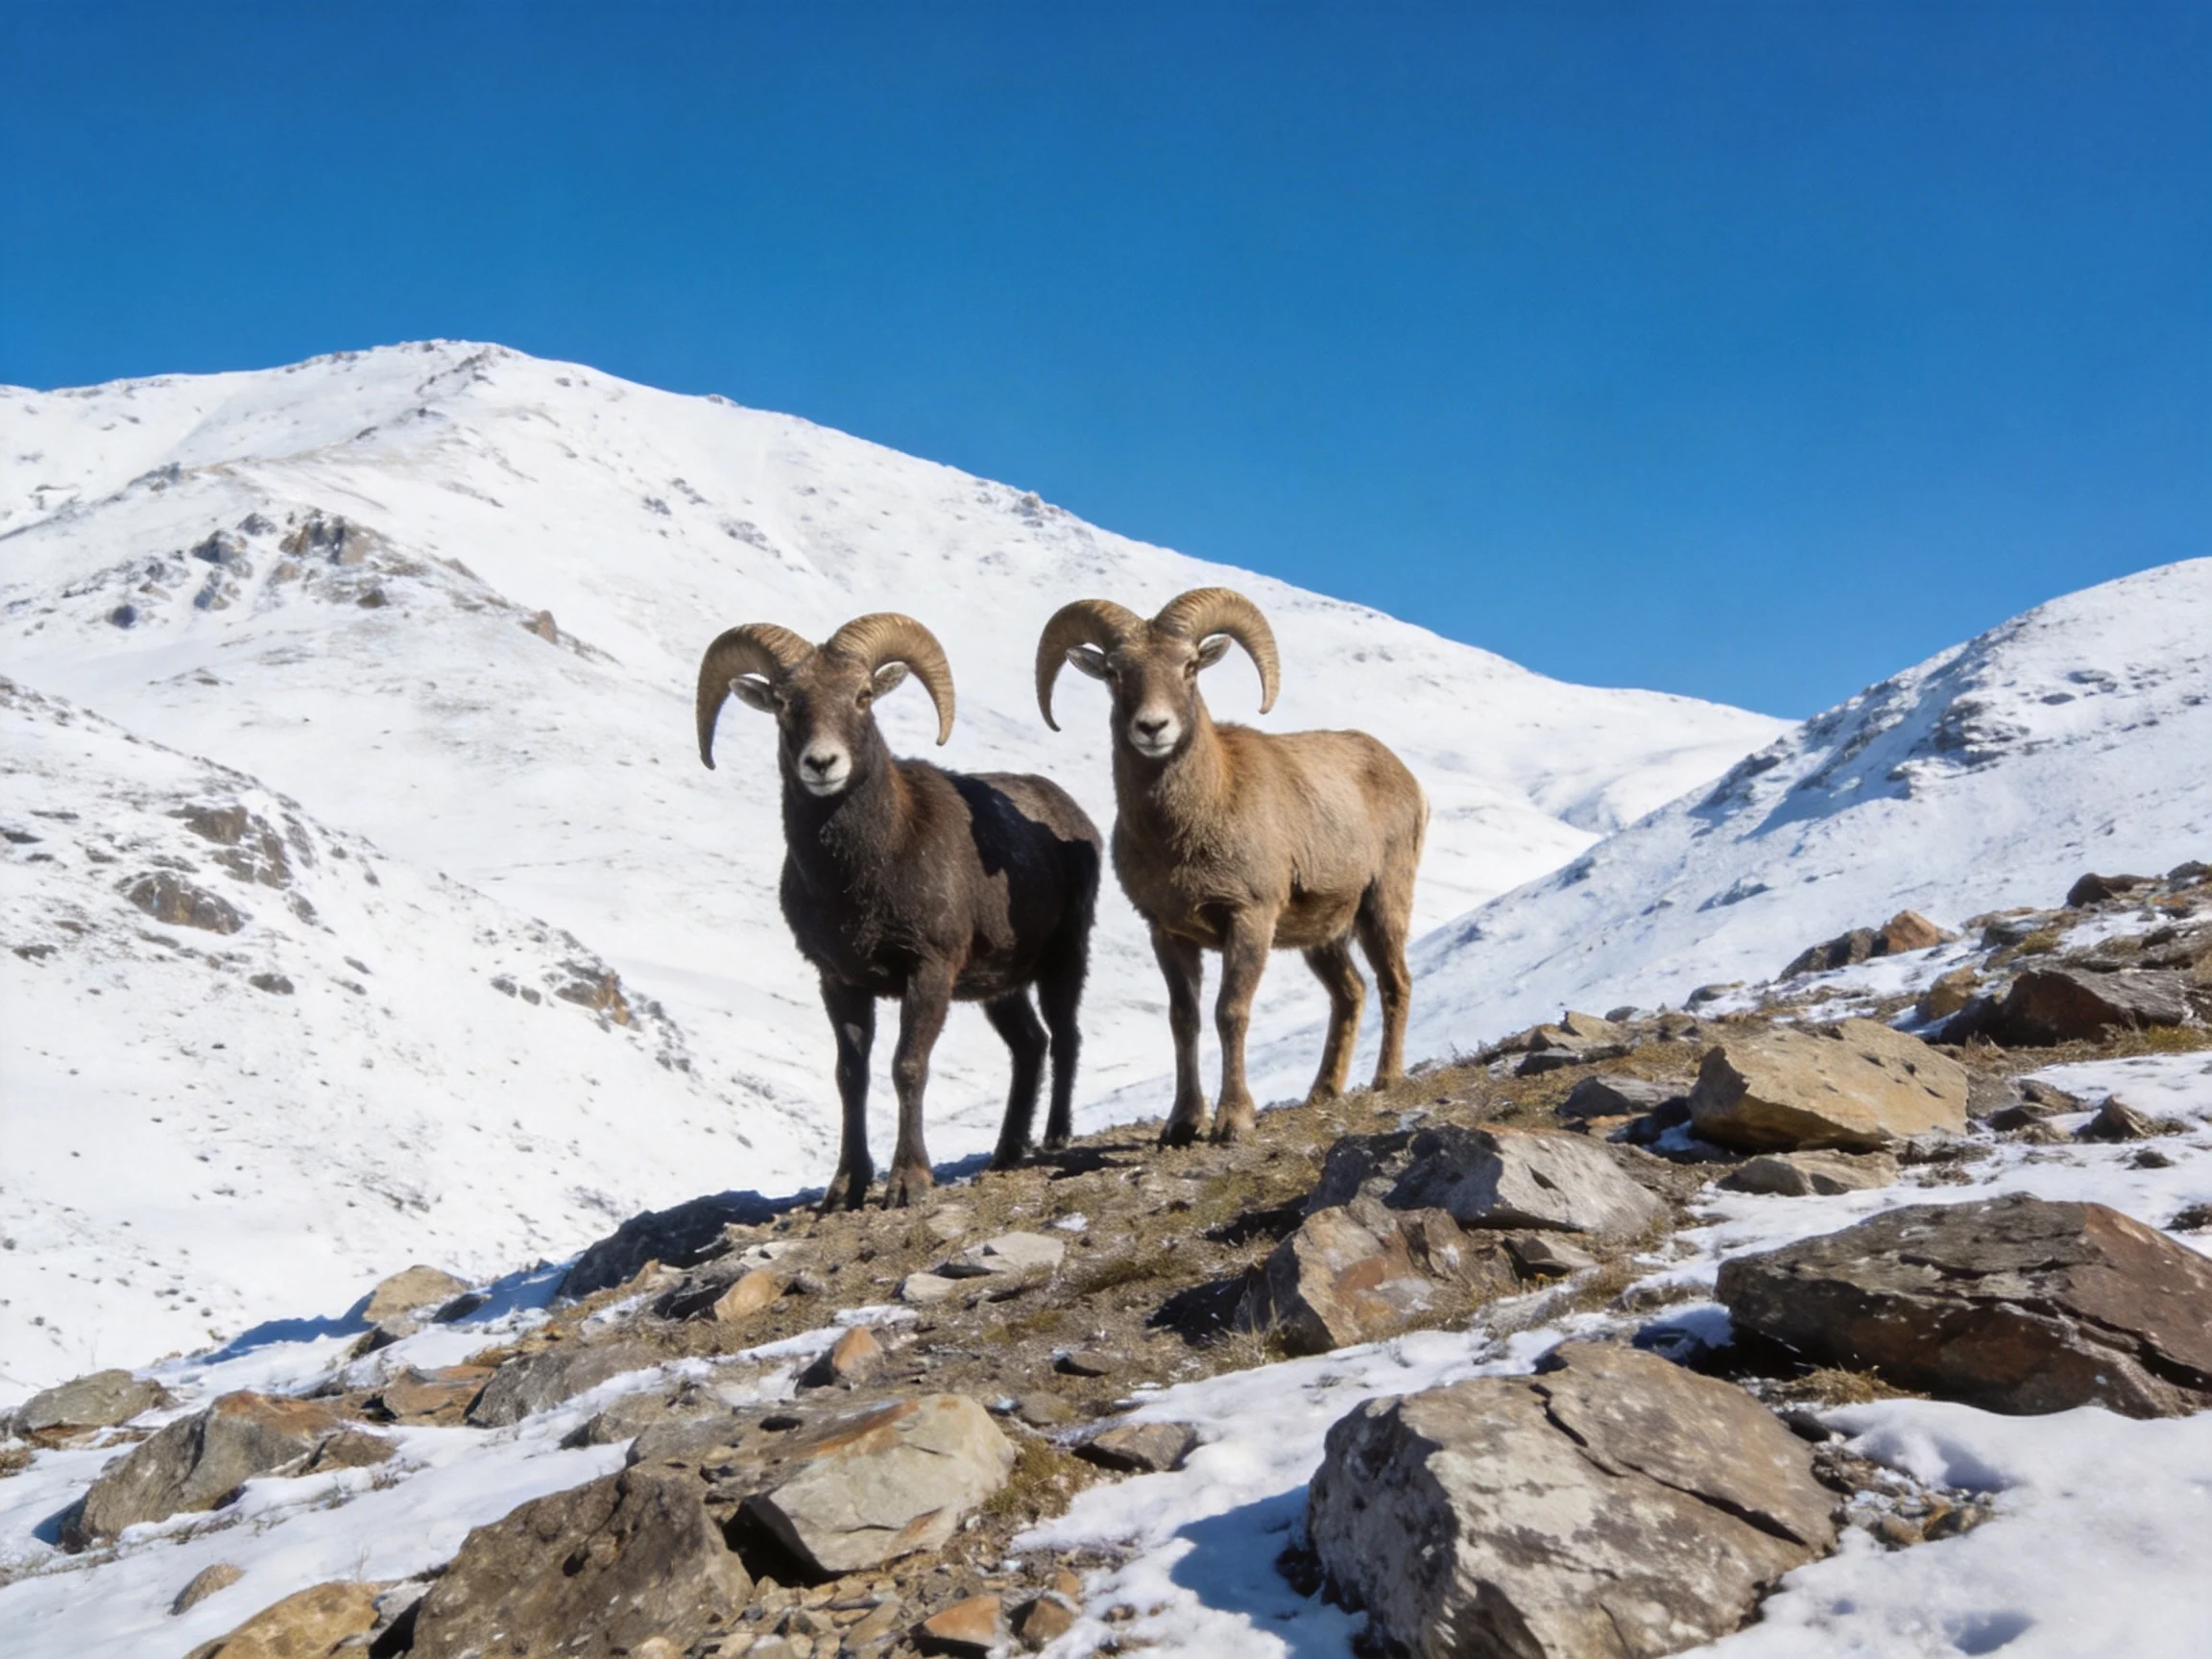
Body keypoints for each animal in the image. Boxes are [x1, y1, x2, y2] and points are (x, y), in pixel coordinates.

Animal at [696, 612, 1102, 1207]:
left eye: (862, 696)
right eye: (784, 702)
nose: (822, 763)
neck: (866, 870)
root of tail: (1072, 815)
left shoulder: (928, 971)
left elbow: (908, 1066)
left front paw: (908, 1182)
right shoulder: (839, 981)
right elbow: (851, 1076)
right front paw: (846, 1188)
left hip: (1063, 960)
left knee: (1066, 1038)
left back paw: (1053, 1139)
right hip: (1000, 988)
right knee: (1030, 1046)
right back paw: (1006, 1153)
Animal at [1035, 587, 1426, 1144]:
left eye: (1189, 665)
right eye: (1114, 671)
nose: (1153, 727)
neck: (1191, 826)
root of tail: (1399, 771)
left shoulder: (1249, 919)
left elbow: (1231, 1012)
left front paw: (1233, 1120)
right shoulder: (1168, 933)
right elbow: (1185, 1019)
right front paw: (1182, 1124)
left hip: (1382, 907)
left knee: (1397, 983)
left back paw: (1386, 1080)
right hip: (1323, 937)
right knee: (1350, 993)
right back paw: (1322, 1092)